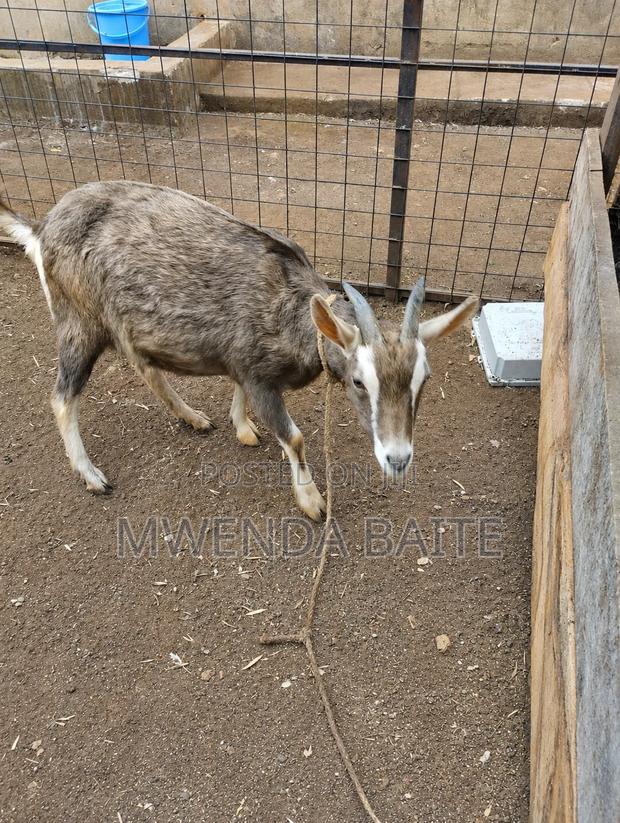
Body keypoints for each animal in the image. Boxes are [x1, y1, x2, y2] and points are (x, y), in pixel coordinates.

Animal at [1, 181, 478, 519]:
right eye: (360, 382)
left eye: (423, 380)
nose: (397, 459)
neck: (293, 309)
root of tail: (41, 229)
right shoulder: (258, 375)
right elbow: (295, 436)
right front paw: (311, 501)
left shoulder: (247, 366)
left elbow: (239, 391)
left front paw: (242, 427)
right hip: (78, 322)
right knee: (63, 397)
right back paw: (91, 475)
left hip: (124, 325)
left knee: (146, 368)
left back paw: (192, 417)